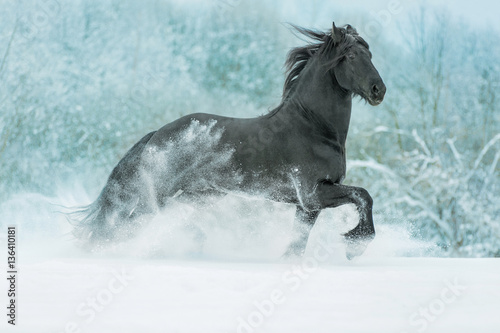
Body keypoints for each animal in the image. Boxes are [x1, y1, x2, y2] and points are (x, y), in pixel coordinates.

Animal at [74, 22, 386, 260]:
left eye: (370, 53)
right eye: (350, 56)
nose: (378, 90)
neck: (313, 127)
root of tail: (157, 134)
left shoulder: (307, 205)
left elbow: (298, 243)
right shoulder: (313, 193)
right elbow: (363, 196)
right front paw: (355, 244)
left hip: (192, 196)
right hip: (158, 196)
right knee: (123, 226)